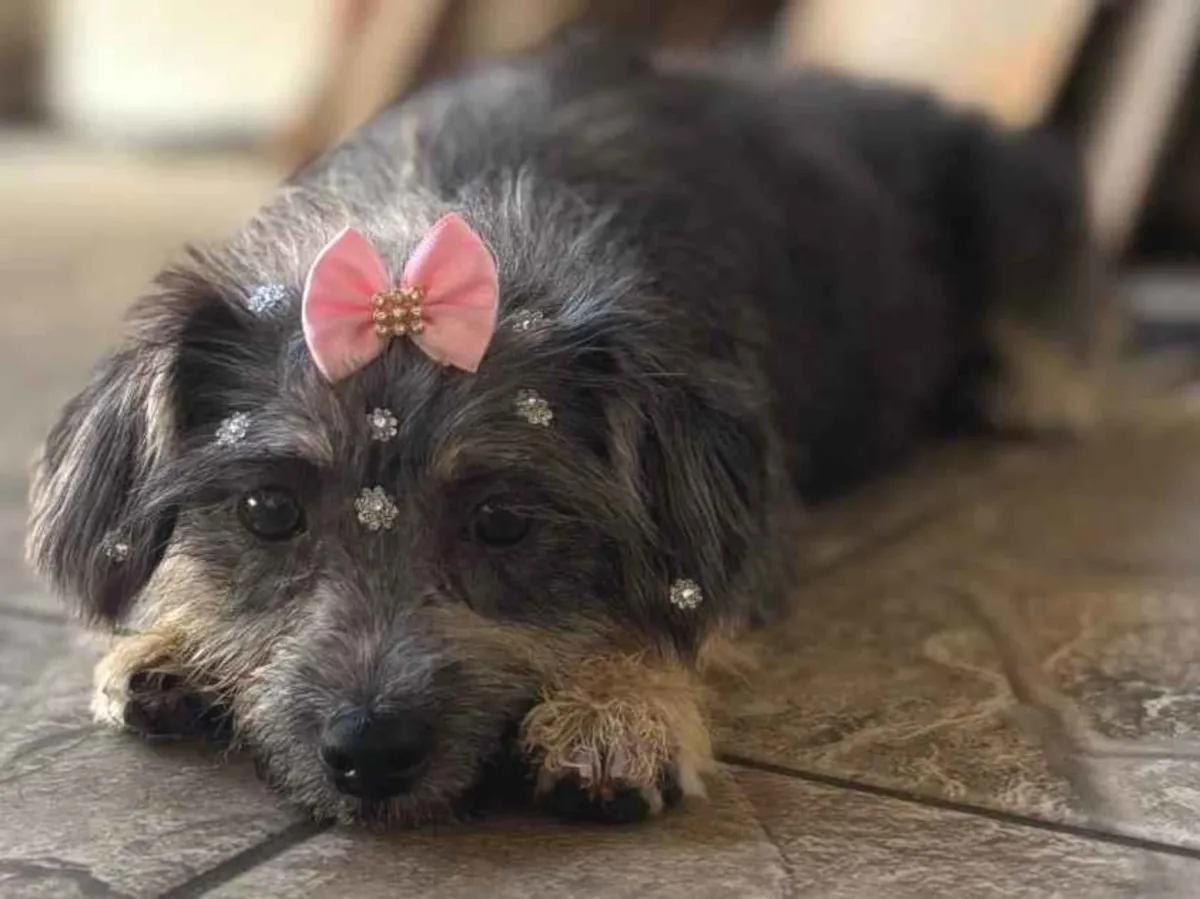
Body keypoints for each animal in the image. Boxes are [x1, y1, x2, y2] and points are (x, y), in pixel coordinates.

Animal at [26, 36, 1096, 827]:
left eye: (504, 520)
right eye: (265, 509)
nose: (368, 754)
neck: (437, 216)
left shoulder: (752, 504)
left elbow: (679, 597)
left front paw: (621, 706)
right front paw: (170, 637)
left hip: (1017, 193)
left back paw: (1027, 387)